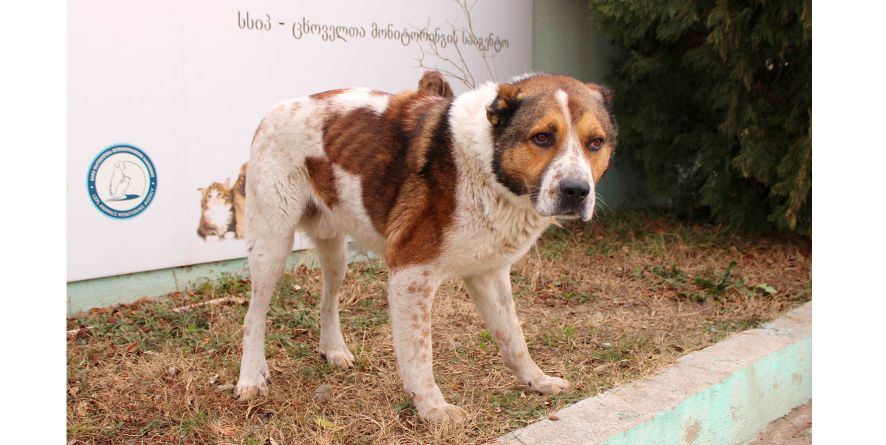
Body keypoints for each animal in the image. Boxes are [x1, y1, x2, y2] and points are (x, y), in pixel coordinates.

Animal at [236, 73, 616, 420]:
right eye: (542, 137)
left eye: (595, 143)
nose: (576, 191)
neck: (485, 168)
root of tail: (276, 108)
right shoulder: (410, 274)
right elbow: (419, 354)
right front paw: (433, 410)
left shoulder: (490, 273)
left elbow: (514, 339)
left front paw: (537, 381)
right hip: (272, 243)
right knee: (254, 315)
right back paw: (251, 378)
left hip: (335, 251)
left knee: (328, 300)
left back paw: (334, 351)